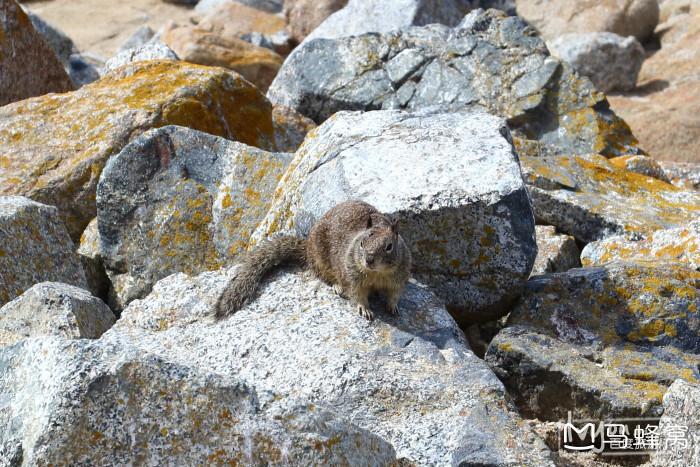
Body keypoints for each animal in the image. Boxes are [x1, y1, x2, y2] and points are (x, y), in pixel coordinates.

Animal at [212, 201, 410, 322]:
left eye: (389, 246)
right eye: (362, 243)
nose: (369, 260)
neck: (377, 274)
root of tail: (306, 246)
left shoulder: (399, 279)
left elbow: (394, 295)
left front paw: (393, 307)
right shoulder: (351, 277)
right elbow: (357, 295)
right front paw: (365, 309)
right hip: (321, 261)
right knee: (324, 276)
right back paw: (337, 286)